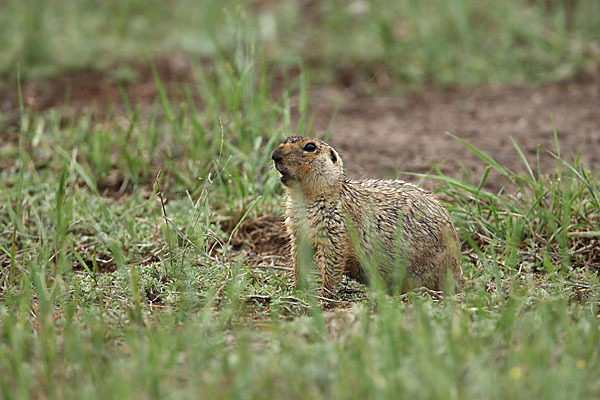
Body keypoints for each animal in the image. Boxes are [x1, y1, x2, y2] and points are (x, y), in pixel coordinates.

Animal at [272, 136, 464, 296]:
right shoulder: (296, 228)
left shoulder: (335, 227)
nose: (274, 155)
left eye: (310, 147)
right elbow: (299, 257)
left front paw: (323, 296)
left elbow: (333, 260)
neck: (306, 198)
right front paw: (297, 289)